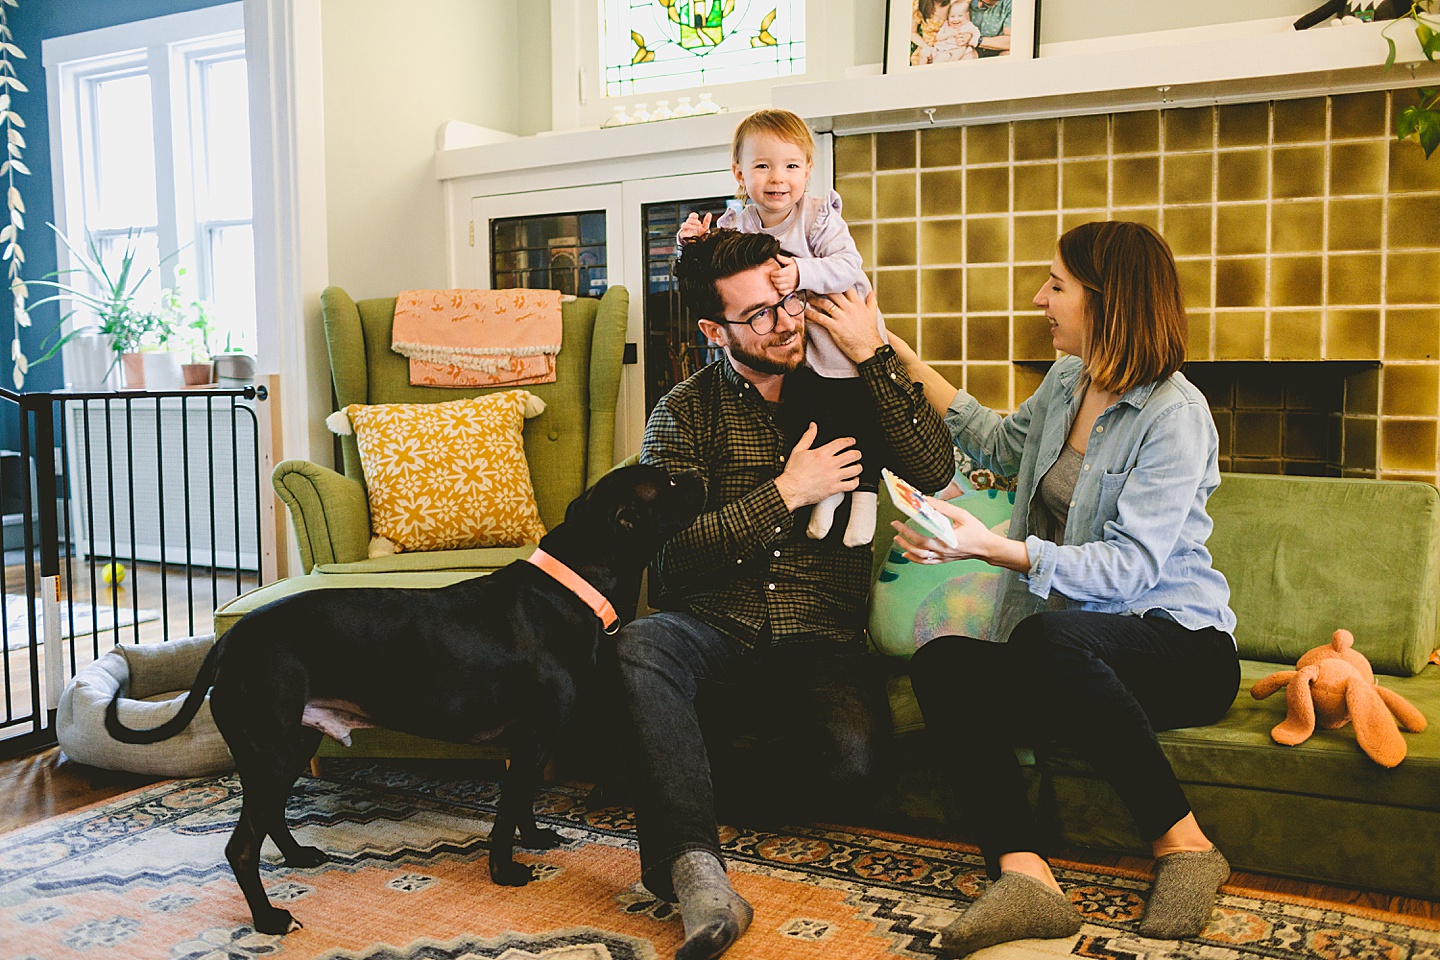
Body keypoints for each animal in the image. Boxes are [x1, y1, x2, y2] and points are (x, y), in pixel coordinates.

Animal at [106, 460, 702, 932]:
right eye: (669, 481)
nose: (697, 475)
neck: (571, 585)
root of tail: (231, 637)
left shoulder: (529, 746)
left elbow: (524, 801)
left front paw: (533, 839)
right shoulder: (533, 738)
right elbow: (508, 810)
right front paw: (505, 871)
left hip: (291, 745)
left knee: (270, 818)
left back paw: (298, 858)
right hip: (271, 750)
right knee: (241, 847)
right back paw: (269, 919)